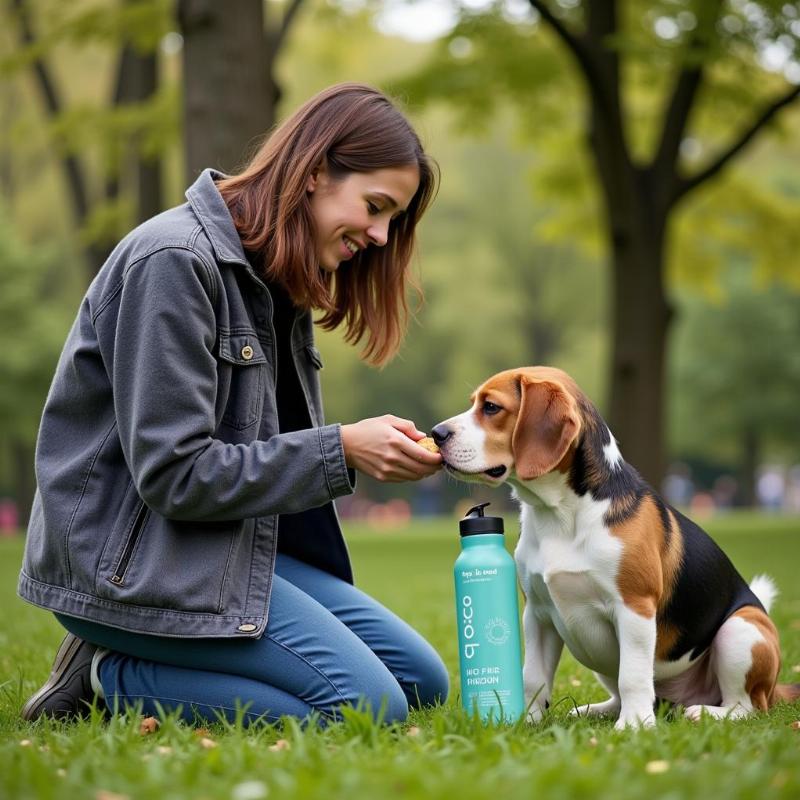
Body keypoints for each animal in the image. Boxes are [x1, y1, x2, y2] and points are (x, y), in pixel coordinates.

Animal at [434, 366, 796, 728]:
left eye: (491, 407)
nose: (437, 433)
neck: (559, 514)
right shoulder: (536, 612)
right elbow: (533, 676)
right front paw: (529, 722)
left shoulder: (634, 607)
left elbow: (633, 676)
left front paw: (634, 725)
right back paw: (597, 710)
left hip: (741, 630)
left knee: (747, 706)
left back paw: (705, 712)